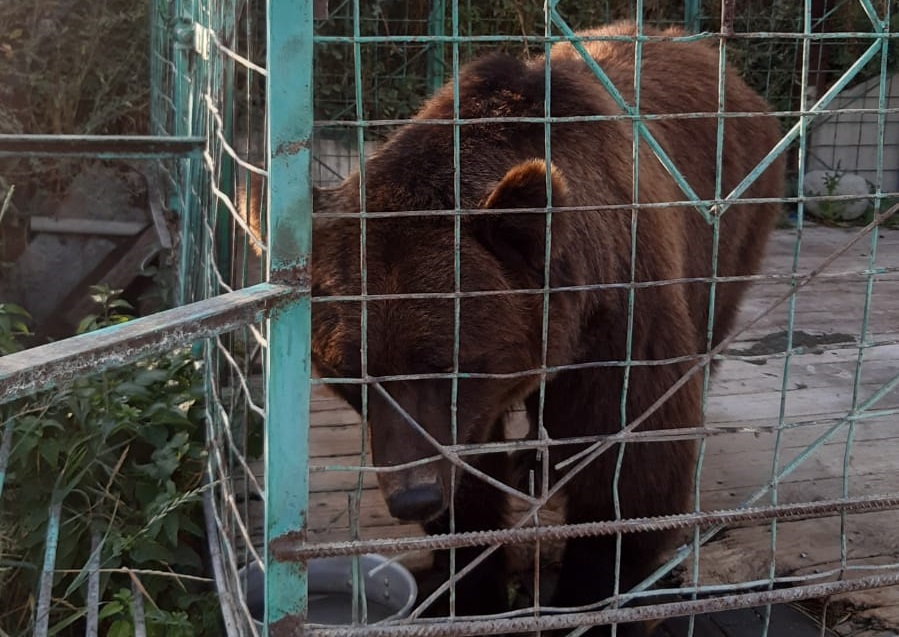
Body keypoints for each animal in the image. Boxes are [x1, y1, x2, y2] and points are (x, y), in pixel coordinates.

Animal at [308, 19, 780, 636]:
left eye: (450, 363)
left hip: (734, 221)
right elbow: (471, 476)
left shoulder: (622, 314)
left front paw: (591, 602)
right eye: (351, 375)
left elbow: (631, 469)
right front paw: (471, 588)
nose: (413, 497)